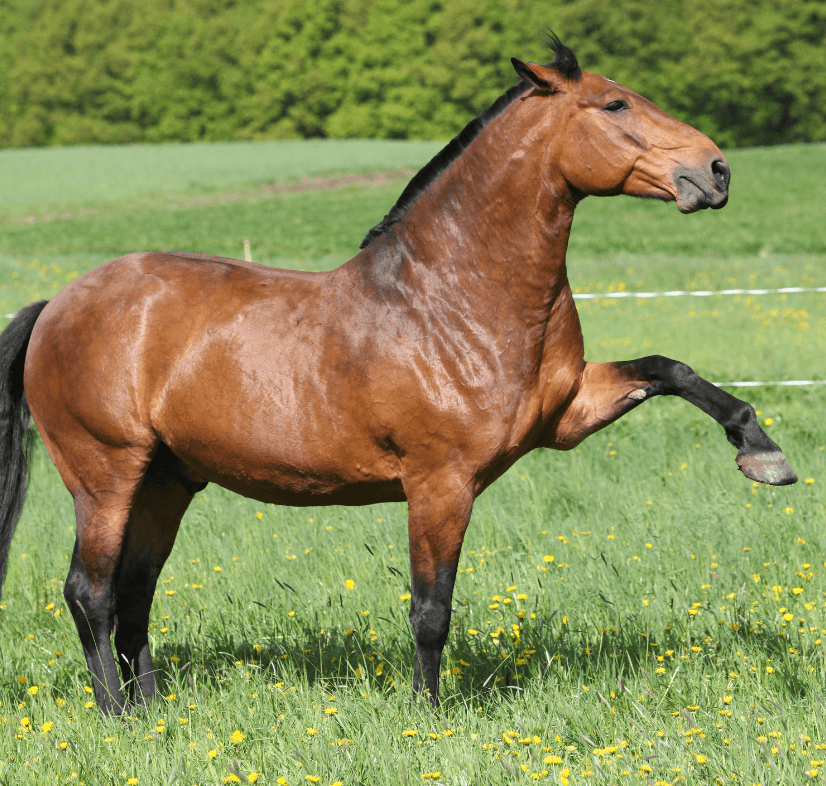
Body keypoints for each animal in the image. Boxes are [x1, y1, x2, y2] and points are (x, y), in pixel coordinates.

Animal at [0, 36, 797, 715]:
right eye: (615, 106)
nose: (716, 170)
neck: (451, 299)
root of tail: (57, 305)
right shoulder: (439, 483)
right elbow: (430, 610)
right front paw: (427, 715)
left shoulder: (566, 414)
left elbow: (670, 369)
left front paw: (762, 452)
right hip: (105, 474)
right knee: (90, 592)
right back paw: (115, 715)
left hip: (166, 480)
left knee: (135, 592)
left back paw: (152, 710)